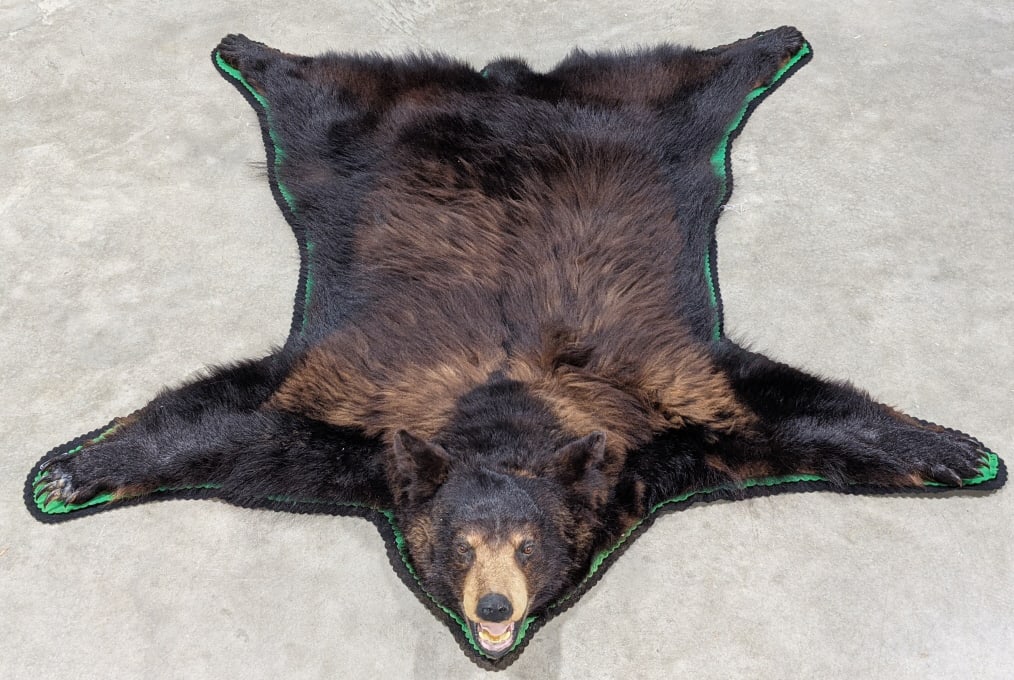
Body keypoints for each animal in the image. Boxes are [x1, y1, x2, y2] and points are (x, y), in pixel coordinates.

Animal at [34, 28, 991, 660]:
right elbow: (232, 421)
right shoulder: (351, 424)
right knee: (321, 90)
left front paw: (957, 450)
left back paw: (773, 43)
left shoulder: (663, 414)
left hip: (643, 126)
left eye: (528, 544)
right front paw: (70, 471)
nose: (495, 608)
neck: (505, 406)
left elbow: (786, 413)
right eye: (463, 542)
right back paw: (248, 50)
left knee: (686, 81)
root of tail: (502, 84)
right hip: (349, 141)